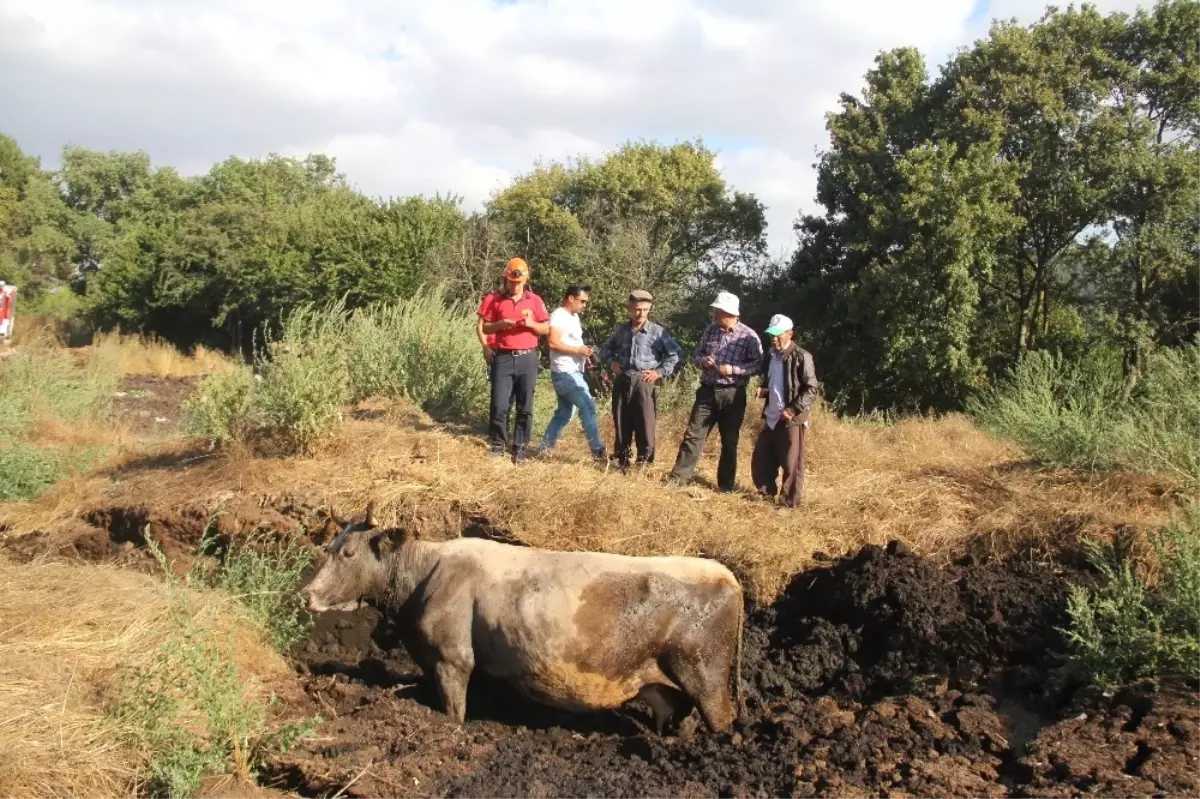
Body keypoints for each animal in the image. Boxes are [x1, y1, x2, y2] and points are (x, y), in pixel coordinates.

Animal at [302, 501, 739, 729]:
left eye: (348, 553)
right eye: (330, 546)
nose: (308, 594)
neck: (427, 573)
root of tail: (726, 574)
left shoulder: (453, 658)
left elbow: (454, 711)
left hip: (705, 676)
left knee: (721, 719)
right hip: (665, 685)